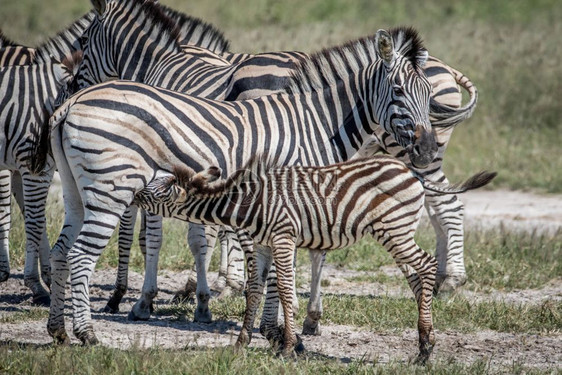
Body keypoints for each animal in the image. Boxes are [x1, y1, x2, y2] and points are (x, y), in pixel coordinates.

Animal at [133, 156, 492, 364]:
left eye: (161, 191)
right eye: (153, 184)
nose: (134, 194)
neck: (248, 203)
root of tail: (410, 169)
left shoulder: (282, 238)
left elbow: (285, 292)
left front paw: (288, 347)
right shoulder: (262, 245)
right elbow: (254, 293)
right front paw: (241, 343)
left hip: (394, 228)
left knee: (427, 266)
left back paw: (427, 346)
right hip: (394, 231)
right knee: (416, 276)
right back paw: (422, 346)